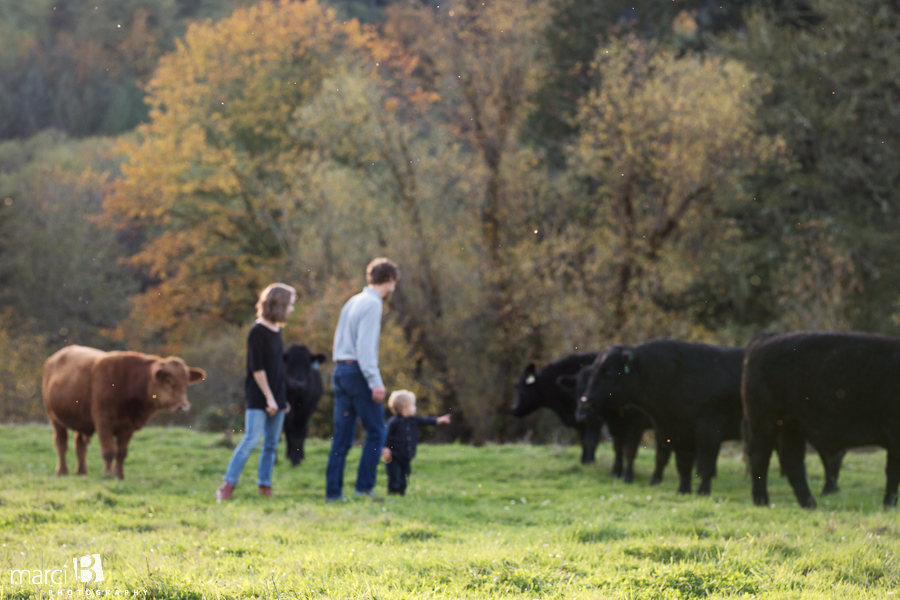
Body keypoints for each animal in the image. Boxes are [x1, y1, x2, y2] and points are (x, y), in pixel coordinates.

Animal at [42, 346, 206, 478]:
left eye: (185, 382)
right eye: (168, 380)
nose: (183, 407)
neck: (129, 383)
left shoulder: (127, 427)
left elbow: (121, 453)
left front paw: (119, 474)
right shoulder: (103, 422)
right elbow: (109, 451)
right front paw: (108, 474)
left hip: (81, 421)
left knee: (80, 444)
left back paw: (82, 471)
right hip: (55, 419)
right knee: (61, 444)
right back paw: (62, 471)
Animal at [512, 352, 668, 482]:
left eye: (519, 388)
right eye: (577, 392)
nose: (513, 408)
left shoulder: (630, 425)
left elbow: (620, 448)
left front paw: (624, 475)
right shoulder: (605, 424)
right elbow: (602, 445)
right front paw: (594, 464)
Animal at [576, 340, 744, 494]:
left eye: (610, 371)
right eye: (595, 370)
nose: (586, 400)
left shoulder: (708, 431)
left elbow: (705, 463)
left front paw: (703, 491)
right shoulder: (672, 431)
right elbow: (673, 461)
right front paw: (679, 489)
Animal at [740, 332, 900, 506]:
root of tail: (765, 338)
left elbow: (892, 473)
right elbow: (893, 473)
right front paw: (889, 504)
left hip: (791, 426)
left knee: (792, 461)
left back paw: (809, 503)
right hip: (765, 422)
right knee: (759, 456)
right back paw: (761, 500)